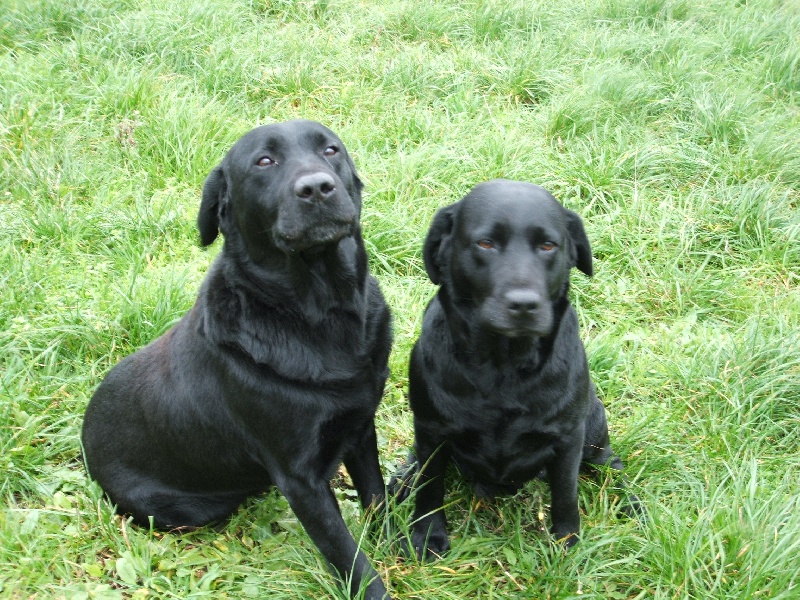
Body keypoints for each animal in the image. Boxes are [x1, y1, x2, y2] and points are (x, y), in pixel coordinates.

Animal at [82, 119, 394, 596]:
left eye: (330, 150)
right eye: (264, 161)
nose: (317, 188)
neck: (318, 313)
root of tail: (84, 437)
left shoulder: (359, 427)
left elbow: (376, 496)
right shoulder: (300, 480)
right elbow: (347, 555)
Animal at [394, 180, 644, 560]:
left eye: (547, 245)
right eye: (485, 243)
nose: (524, 304)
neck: (503, 366)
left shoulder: (568, 438)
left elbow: (566, 494)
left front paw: (567, 541)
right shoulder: (431, 432)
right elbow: (430, 490)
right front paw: (427, 535)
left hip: (593, 425)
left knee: (610, 466)